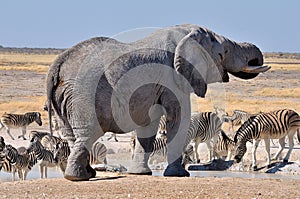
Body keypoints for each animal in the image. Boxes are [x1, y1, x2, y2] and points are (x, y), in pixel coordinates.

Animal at [45, 23, 270, 180]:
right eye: (223, 53)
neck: (185, 33)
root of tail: (57, 66)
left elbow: (149, 124)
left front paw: (140, 174)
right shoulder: (172, 77)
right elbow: (178, 117)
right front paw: (180, 175)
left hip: (65, 99)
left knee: (72, 136)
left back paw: (87, 174)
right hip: (83, 94)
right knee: (88, 134)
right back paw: (78, 177)